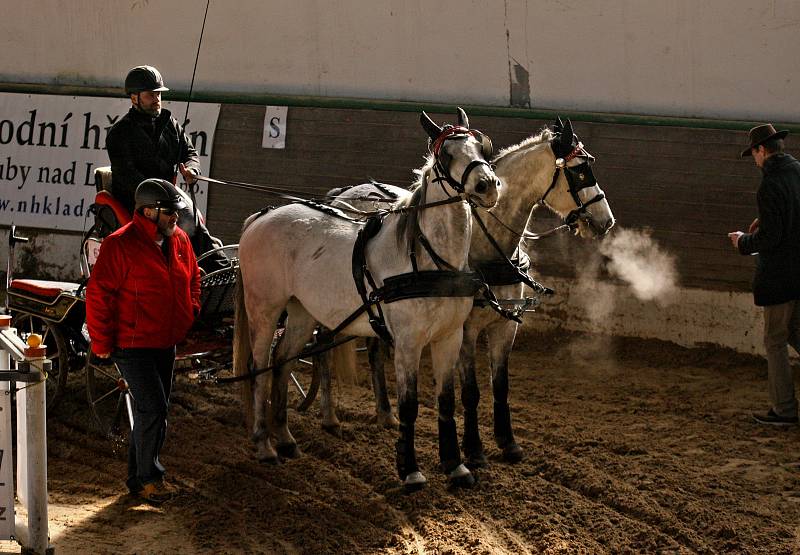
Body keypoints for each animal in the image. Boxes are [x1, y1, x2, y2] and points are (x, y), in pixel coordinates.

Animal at [233, 108, 500, 490]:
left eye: (482, 147)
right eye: (446, 155)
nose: (486, 185)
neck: (429, 259)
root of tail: (263, 215)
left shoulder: (449, 338)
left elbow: (446, 402)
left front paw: (456, 466)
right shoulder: (407, 343)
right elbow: (409, 406)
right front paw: (410, 471)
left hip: (302, 312)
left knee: (283, 360)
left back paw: (285, 439)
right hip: (264, 308)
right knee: (259, 367)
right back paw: (264, 444)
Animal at [322, 116, 616, 464]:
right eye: (581, 170)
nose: (606, 220)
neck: (486, 245)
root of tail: (342, 194)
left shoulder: (504, 326)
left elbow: (500, 385)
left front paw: (508, 442)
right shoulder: (465, 330)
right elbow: (471, 391)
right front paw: (474, 449)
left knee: (375, 352)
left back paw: (385, 414)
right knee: (323, 349)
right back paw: (329, 417)